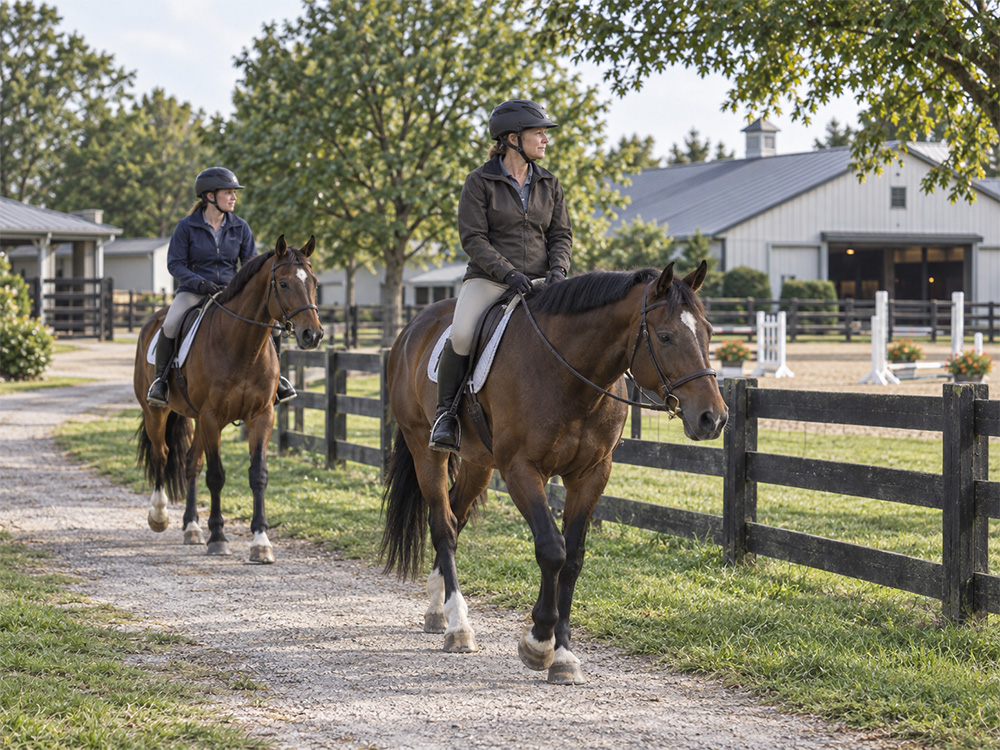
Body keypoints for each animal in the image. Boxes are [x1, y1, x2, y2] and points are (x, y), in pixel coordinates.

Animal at [133, 235, 324, 564]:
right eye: (283, 283)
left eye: (314, 282)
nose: (313, 335)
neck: (241, 346)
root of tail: (152, 321)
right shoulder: (212, 418)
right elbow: (216, 476)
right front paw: (219, 537)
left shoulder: (261, 416)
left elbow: (258, 475)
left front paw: (261, 541)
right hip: (156, 413)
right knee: (162, 454)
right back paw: (159, 516)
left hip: (196, 419)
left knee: (190, 464)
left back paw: (192, 527)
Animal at [380, 260, 728, 684]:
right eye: (664, 336)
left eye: (708, 332)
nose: (713, 418)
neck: (569, 373)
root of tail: (414, 327)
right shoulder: (522, 470)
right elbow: (551, 549)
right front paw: (539, 642)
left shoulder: (591, 474)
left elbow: (573, 558)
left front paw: (563, 655)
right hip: (424, 449)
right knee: (443, 526)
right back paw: (458, 626)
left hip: (478, 463)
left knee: (455, 518)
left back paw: (436, 608)